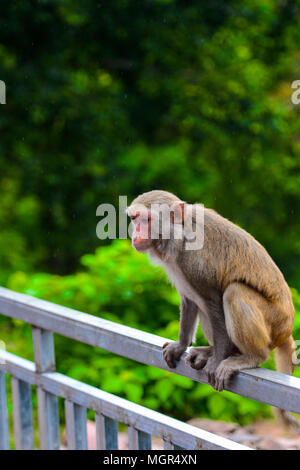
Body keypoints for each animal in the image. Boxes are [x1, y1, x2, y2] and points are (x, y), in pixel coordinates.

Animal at [127, 189, 300, 432]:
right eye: (134, 219)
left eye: (146, 219)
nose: (135, 235)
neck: (178, 235)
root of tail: (286, 330)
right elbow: (189, 300)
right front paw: (181, 345)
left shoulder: (194, 259)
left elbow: (214, 300)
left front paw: (217, 358)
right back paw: (215, 351)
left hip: (273, 323)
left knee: (233, 291)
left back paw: (248, 356)